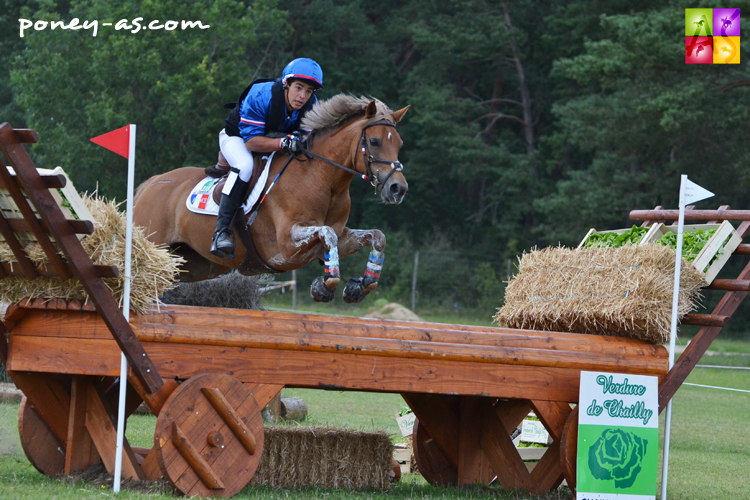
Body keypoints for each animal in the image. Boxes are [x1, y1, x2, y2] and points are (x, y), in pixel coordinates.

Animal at [132, 95, 408, 302]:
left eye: (399, 144)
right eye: (374, 141)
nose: (398, 189)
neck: (324, 180)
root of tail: (151, 184)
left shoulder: (341, 236)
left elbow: (376, 237)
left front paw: (360, 285)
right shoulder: (286, 245)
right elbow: (327, 234)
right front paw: (324, 286)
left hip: (195, 264)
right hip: (155, 247)